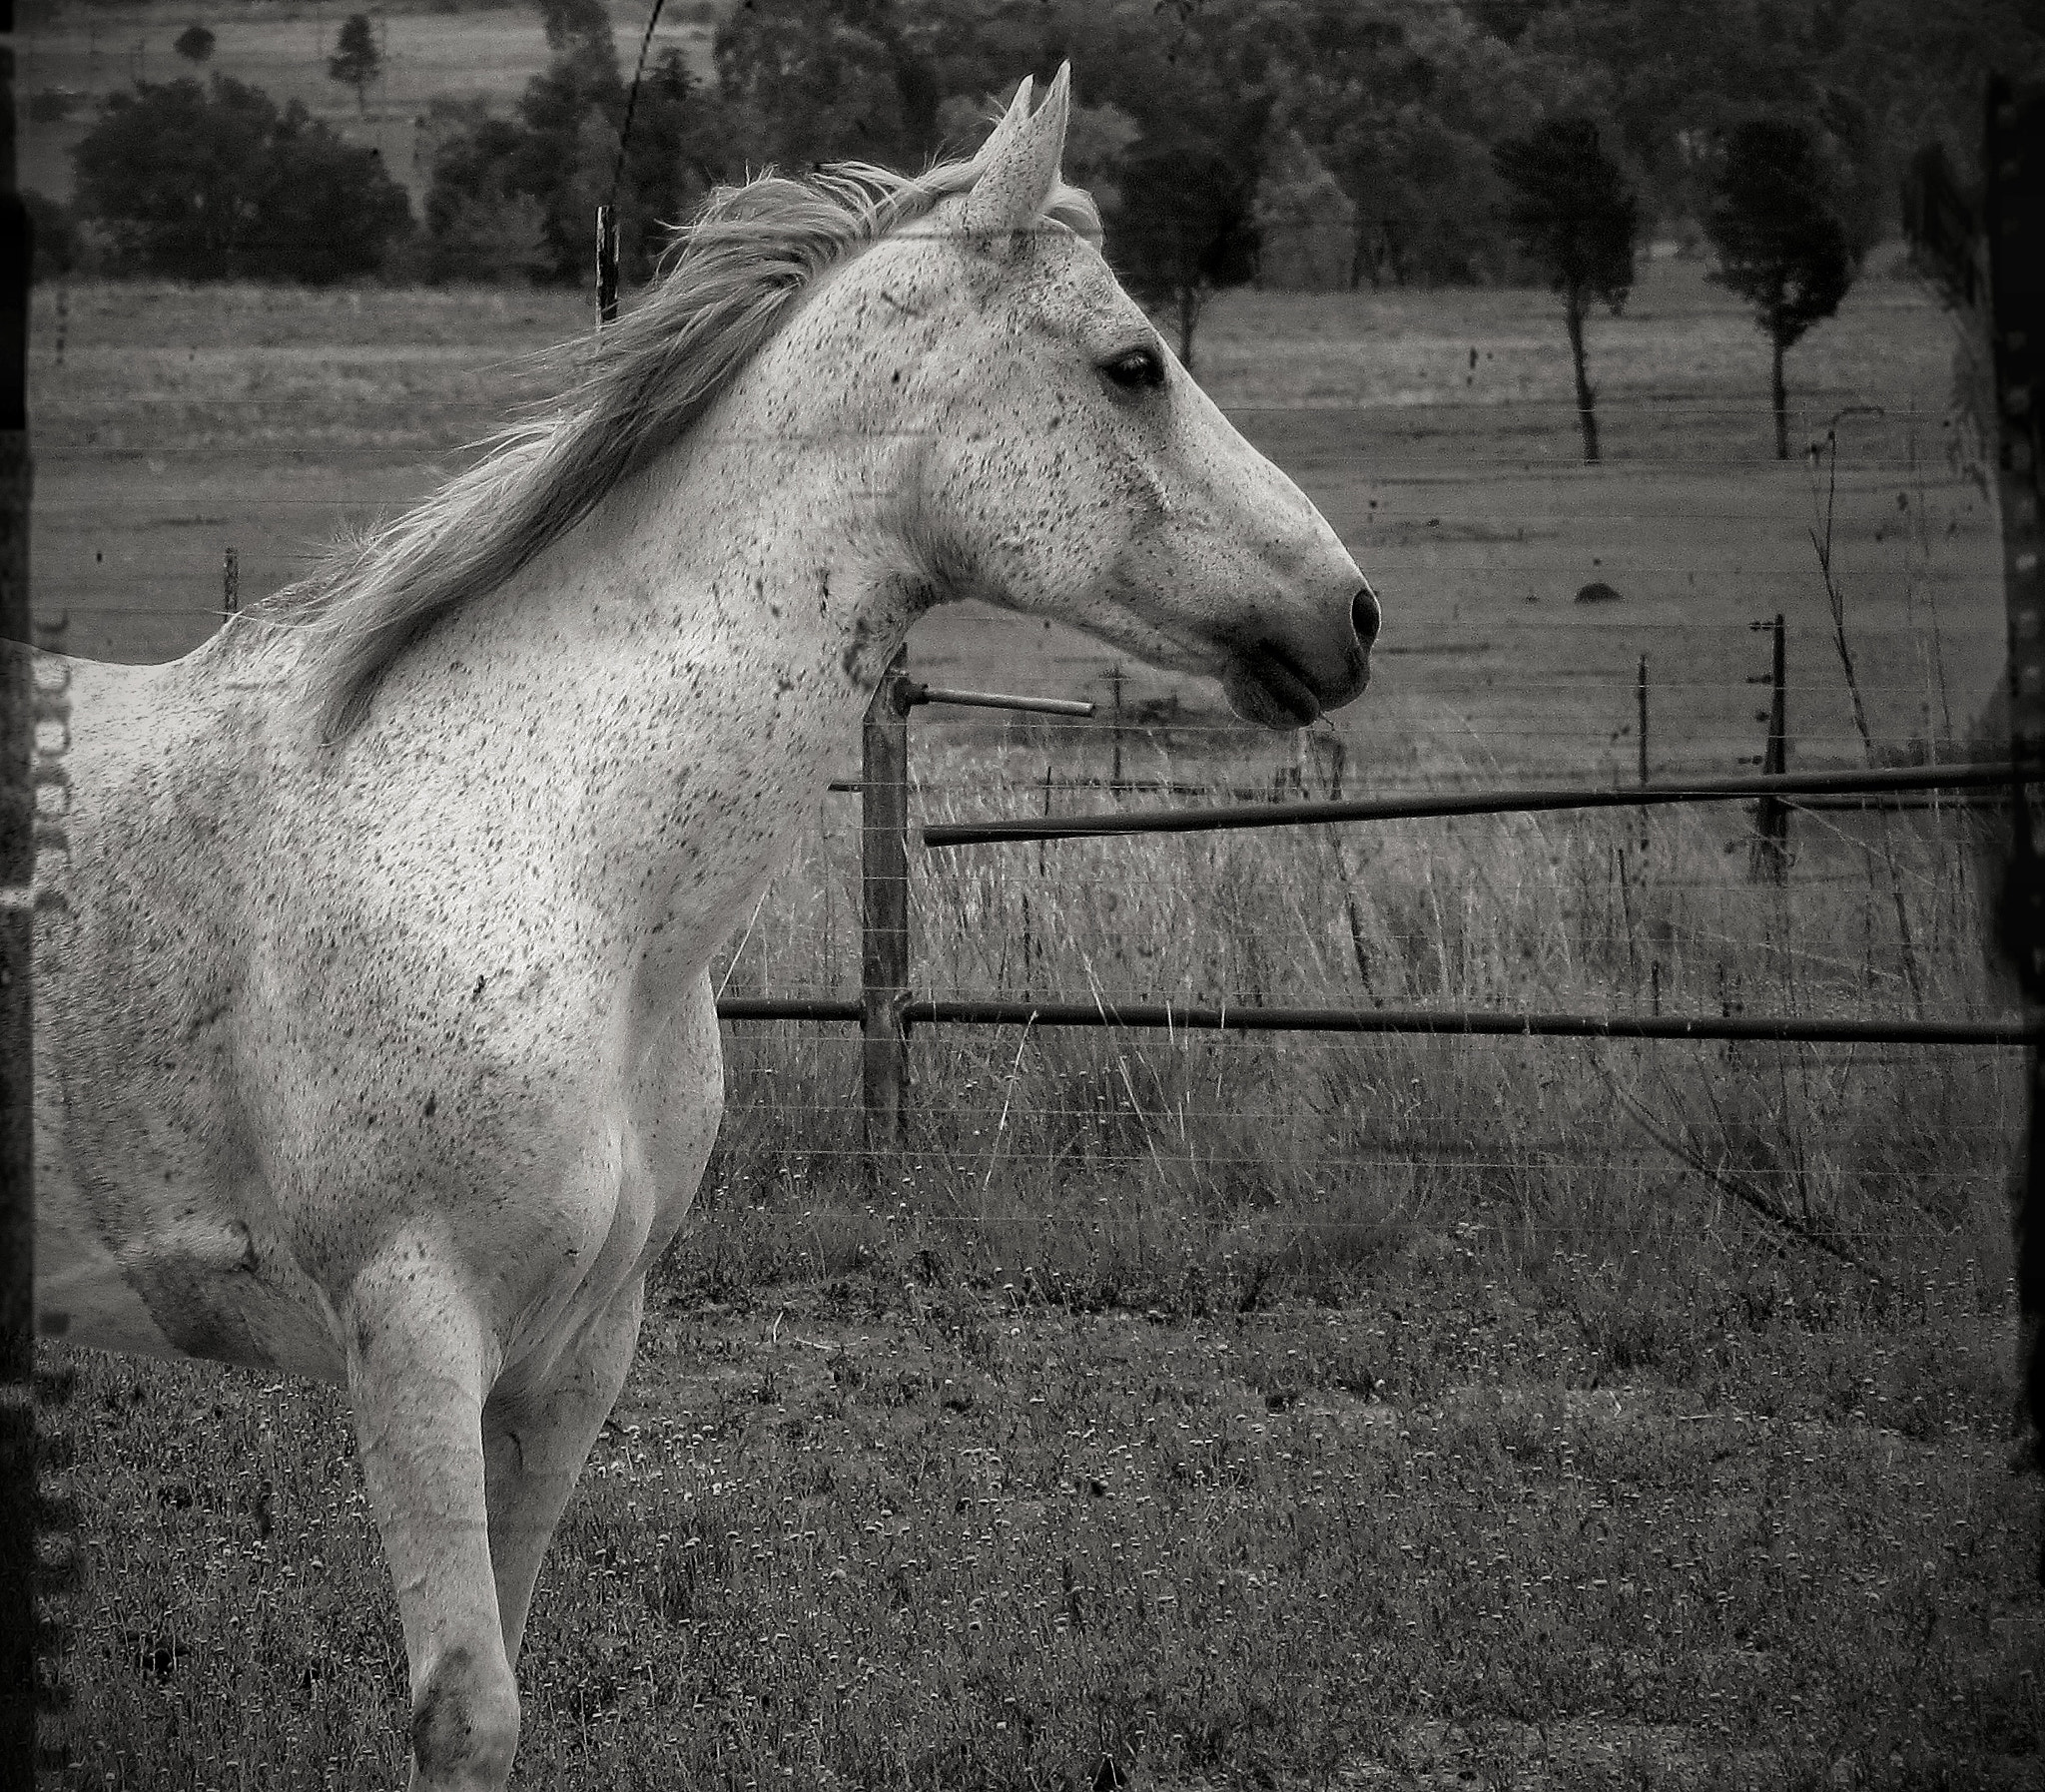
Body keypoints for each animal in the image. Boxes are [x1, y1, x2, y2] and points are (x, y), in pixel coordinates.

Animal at [31, 66, 1378, 1789]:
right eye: (1132, 363)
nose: (1351, 614)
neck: (551, 852)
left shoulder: (573, 1354)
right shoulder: (412, 1329)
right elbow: (463, 1703)